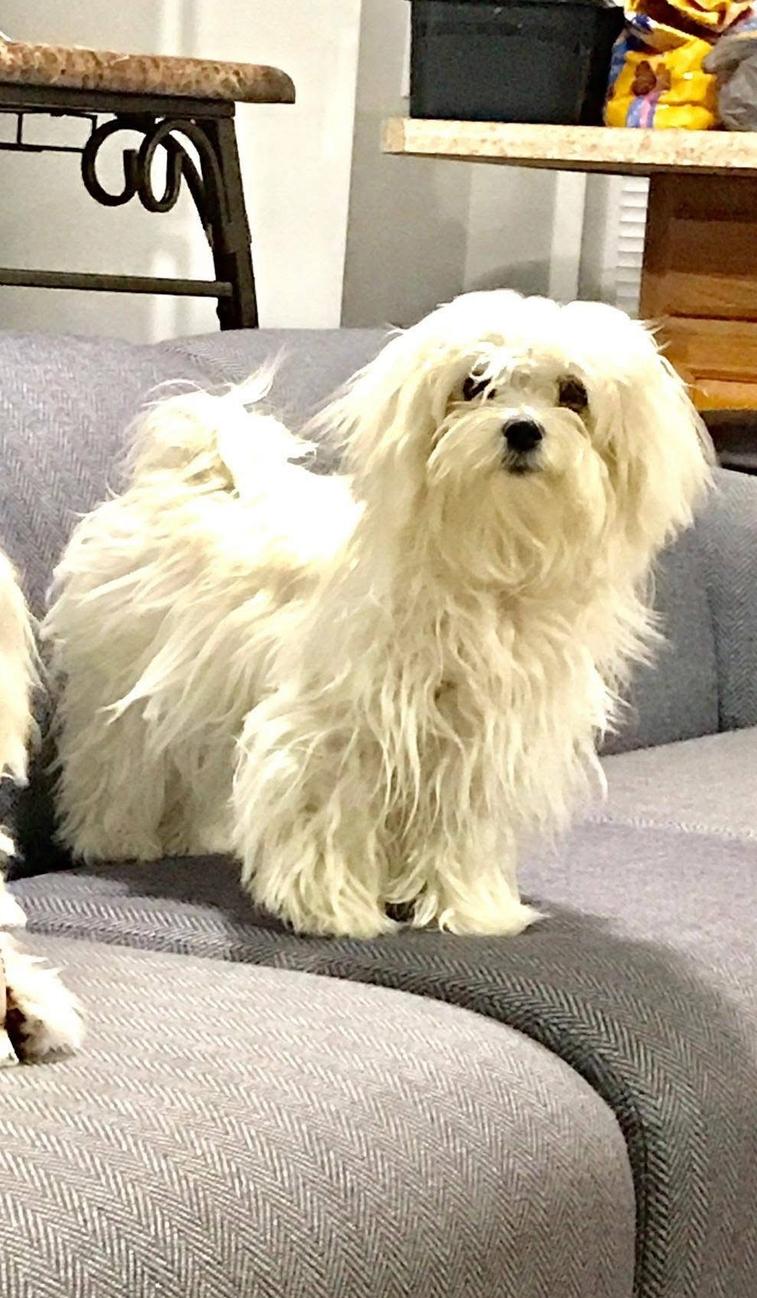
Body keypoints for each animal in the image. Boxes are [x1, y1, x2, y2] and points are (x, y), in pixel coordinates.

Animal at [44, 291, 712, 939]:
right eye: (474, 384)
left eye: (574, 393)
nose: (522, 430)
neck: (486, 566)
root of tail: (192, 472)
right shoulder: (337, 732)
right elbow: (327, 818)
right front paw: (332, 910)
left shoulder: (478, 748)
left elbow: (460, 835)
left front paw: (470, 910)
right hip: (128, 687)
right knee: (118, 764)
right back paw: (118, 840)